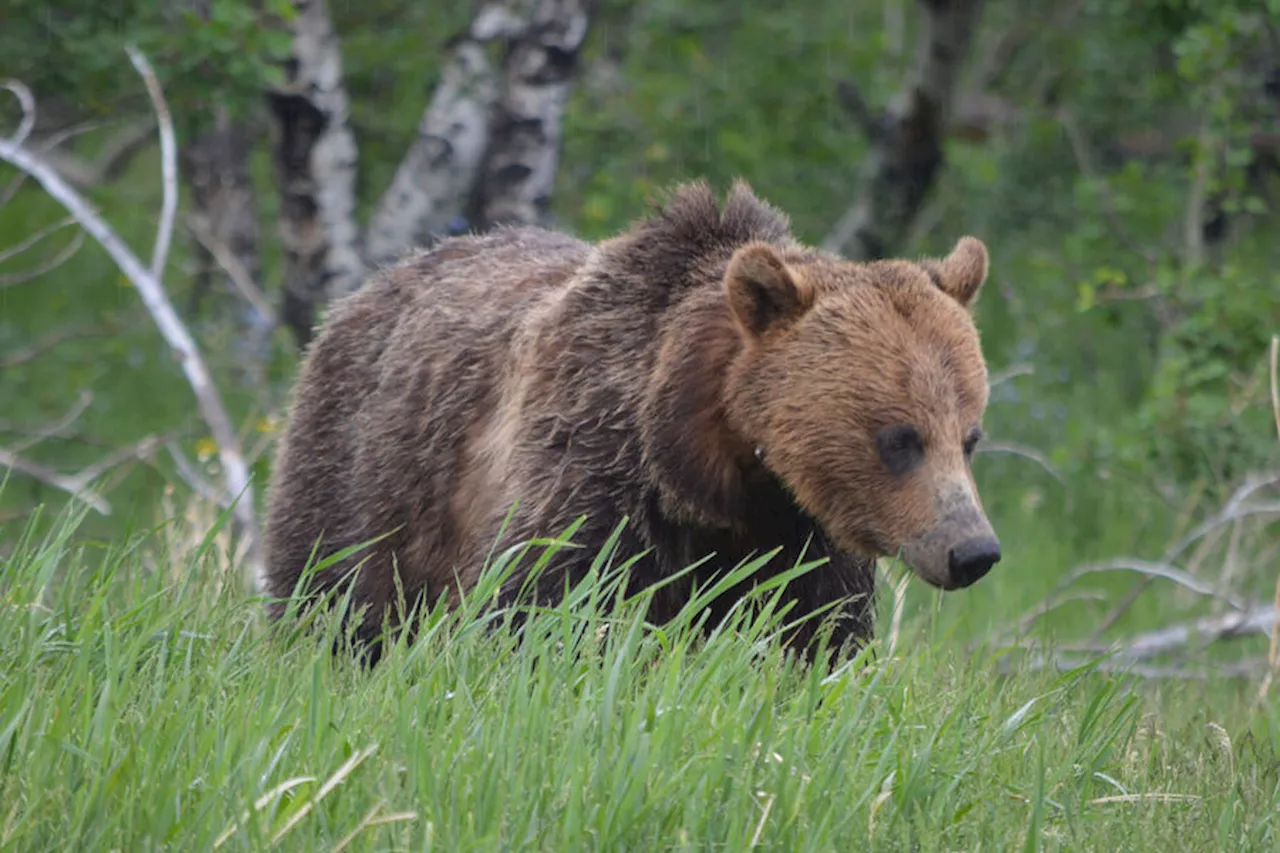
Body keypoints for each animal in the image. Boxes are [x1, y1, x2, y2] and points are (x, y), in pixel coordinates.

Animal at [259, 179, 998, 655]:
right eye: (898, 438)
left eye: (969, 436)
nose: (972, 550)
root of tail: (375, 282)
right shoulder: (592, 475)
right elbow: (546, 611)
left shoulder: (798, 535)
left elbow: (813, 637)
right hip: (367, 471)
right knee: (334, 598)